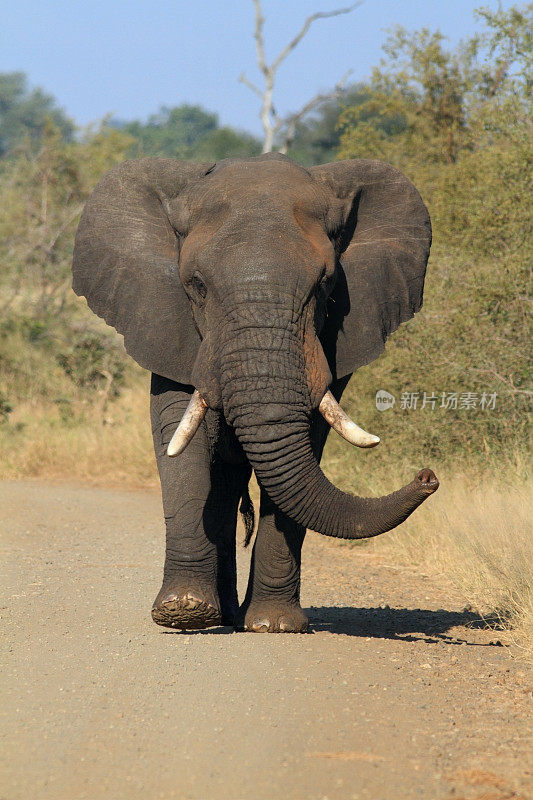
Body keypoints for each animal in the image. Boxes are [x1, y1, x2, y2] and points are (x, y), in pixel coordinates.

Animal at [71, 153, 436, 636]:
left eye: (325, 285)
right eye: (197, 285)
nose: (427, 476)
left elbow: (304, 444)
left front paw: (273, 625)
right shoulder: (165, 319)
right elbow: (178, 436)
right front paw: (182, 611)